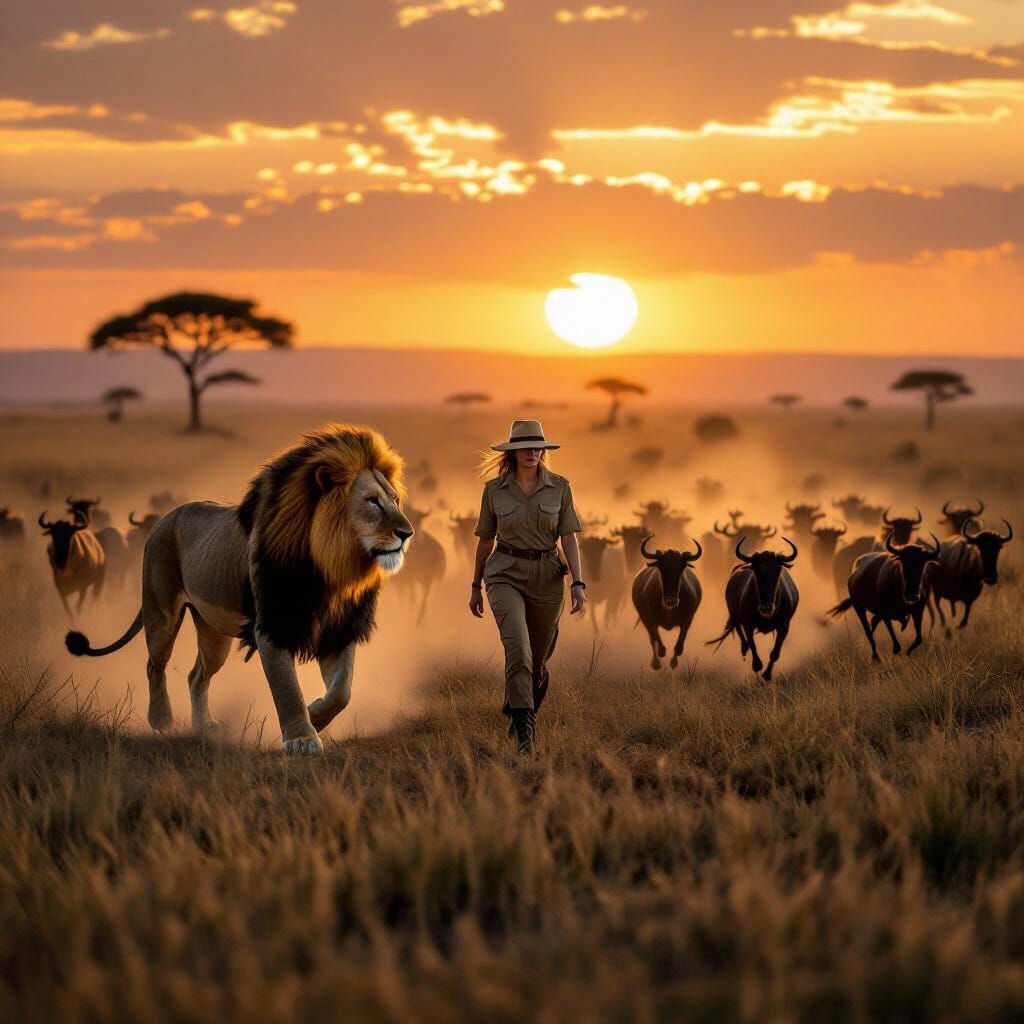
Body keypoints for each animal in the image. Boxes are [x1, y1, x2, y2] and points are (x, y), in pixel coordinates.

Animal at [65, 423, 414, 755]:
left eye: (396, 500)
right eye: (372, 502)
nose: (407, 533)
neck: (332, 568)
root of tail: (164, 518)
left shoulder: (339, 627)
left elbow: (342, 691)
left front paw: (315, 715)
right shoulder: (271, 627)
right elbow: (287, 689)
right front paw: (301, 739)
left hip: (213, 631)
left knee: (197, 675)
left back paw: (204, 727)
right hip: (160, 613)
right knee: (155, 665)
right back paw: (161, 720)